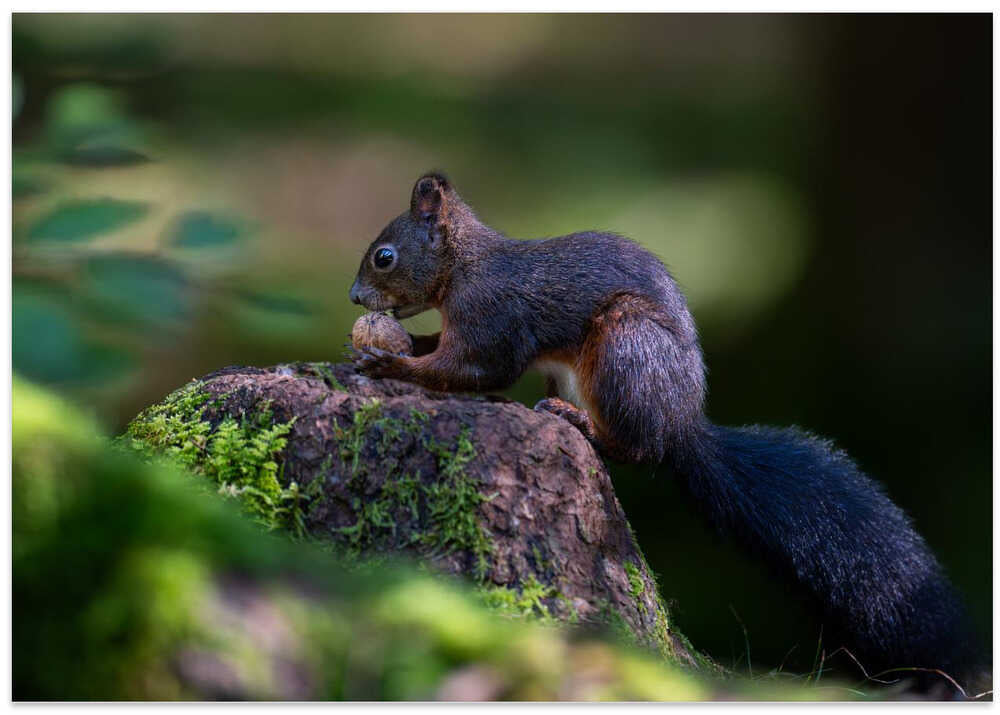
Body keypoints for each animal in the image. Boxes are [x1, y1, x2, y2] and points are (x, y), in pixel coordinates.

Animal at [348, 172, 985, 694]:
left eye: (384, 256)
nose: (354, 298)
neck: (465, 266)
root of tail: (683, 424)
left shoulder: (492, 317)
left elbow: (477, 370)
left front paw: (390, 365)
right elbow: (446, 352)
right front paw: (386, 345)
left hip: (626, 346)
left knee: (637, 449)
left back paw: (581, 422)